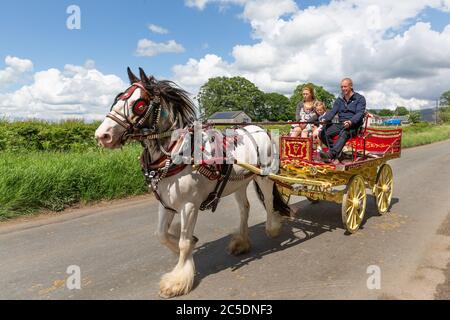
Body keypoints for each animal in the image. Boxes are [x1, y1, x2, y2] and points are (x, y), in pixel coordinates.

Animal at [95, 68, 290, 300]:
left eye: (139, 104)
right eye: (117, 99)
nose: (102, 135)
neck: (176, 154)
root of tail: (259, 128)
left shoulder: (189, 205)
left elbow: (184, 242)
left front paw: (178, 280)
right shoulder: (166, 203)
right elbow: (161, 235)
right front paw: (186, 248)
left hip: (264, 176)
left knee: (268, 202)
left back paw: (273, 228)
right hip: (238, 183)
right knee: (245, 208)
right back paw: (242, 241)